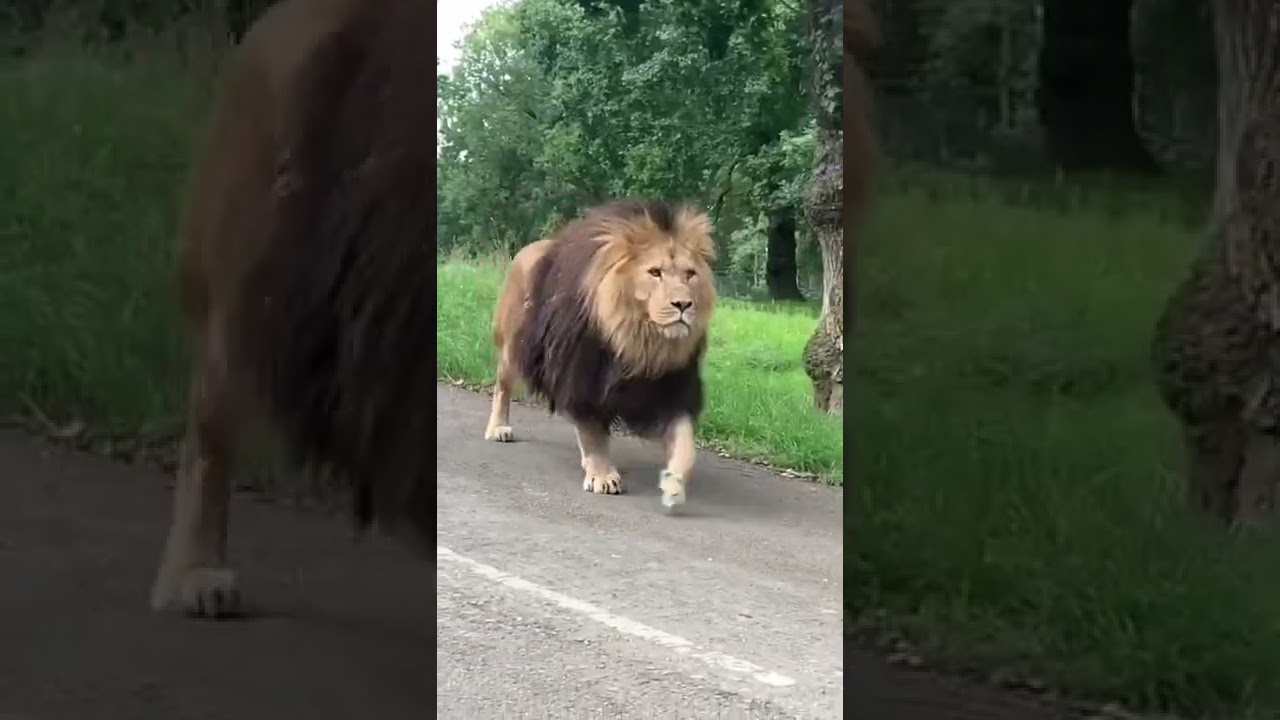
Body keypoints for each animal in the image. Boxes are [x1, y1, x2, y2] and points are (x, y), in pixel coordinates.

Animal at [484, 200, 717, 509]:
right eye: (655, 272)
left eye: (690, 274)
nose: (683, 304)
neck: (641, 341)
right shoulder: (581, 376)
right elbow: (592, 432)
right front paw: (603, 475)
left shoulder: (671, 388)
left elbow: (685, 444)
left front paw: (674, 483)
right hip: (513, 347)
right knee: (502, 386)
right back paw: (498, 428)